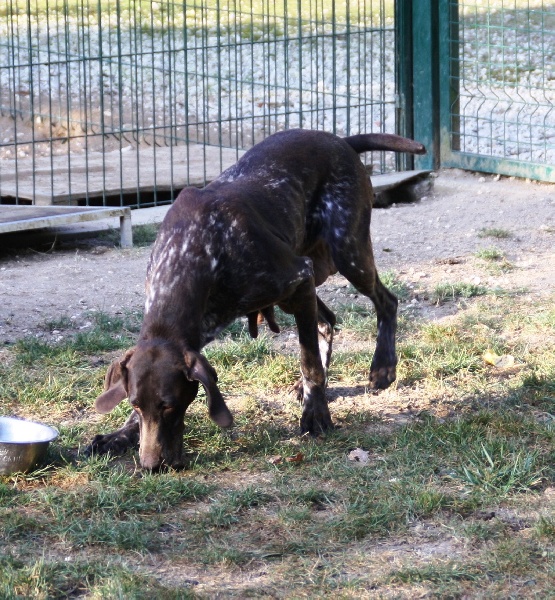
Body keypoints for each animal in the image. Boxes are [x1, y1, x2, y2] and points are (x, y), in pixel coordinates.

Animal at [87, 130, 426, 468]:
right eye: (135, 403)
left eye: (169, 405)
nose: (151, 465)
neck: (193, 251)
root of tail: (340, 140)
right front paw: (120, 435)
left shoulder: (299, 276)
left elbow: (309, 363)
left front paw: (315, 415)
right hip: (302, 289)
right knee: (328, 322)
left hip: (348, 254)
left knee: (386, 302)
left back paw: (382, 367)